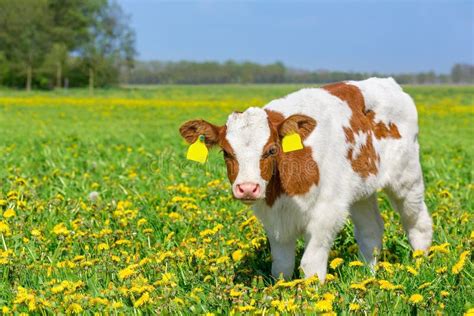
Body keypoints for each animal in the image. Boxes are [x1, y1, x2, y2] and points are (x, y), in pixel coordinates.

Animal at [179, 78, 434, 280]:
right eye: (226, 152)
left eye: (271, 150)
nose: (248, 188)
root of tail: (388, 82)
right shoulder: (273, 219)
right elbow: (282, 265)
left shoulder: (327, 212)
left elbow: (310, 265)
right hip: (362, 188)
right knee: (371, 231)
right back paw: (367, 276)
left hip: (407, 177)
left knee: (417, 224)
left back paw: (419, 266)